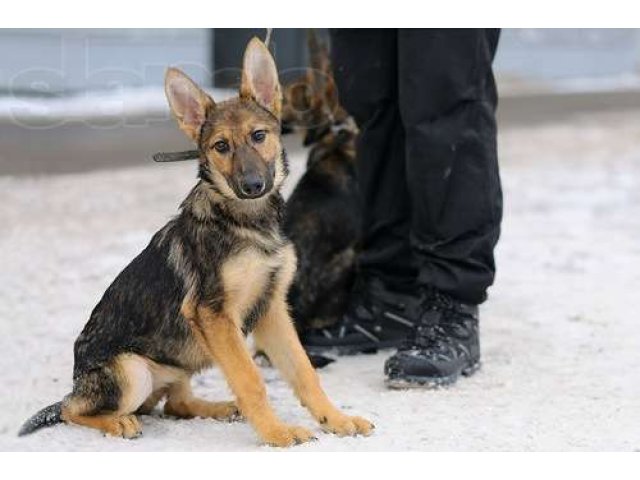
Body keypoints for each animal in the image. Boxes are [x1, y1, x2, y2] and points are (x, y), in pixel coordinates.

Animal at [20, 39, 372, 448]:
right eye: (221, 146)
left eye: (259, 136)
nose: (253, 186)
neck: (245, 222)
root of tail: (80, 385)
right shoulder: (214, 315)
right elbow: (251, 379)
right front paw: (276, 433)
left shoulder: (271, 309)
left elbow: (303, 371)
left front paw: (336, 420)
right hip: (133, 370)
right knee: (72, 409)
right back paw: (118, 422)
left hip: (186, 356)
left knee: (176, 404)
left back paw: (218, 408)